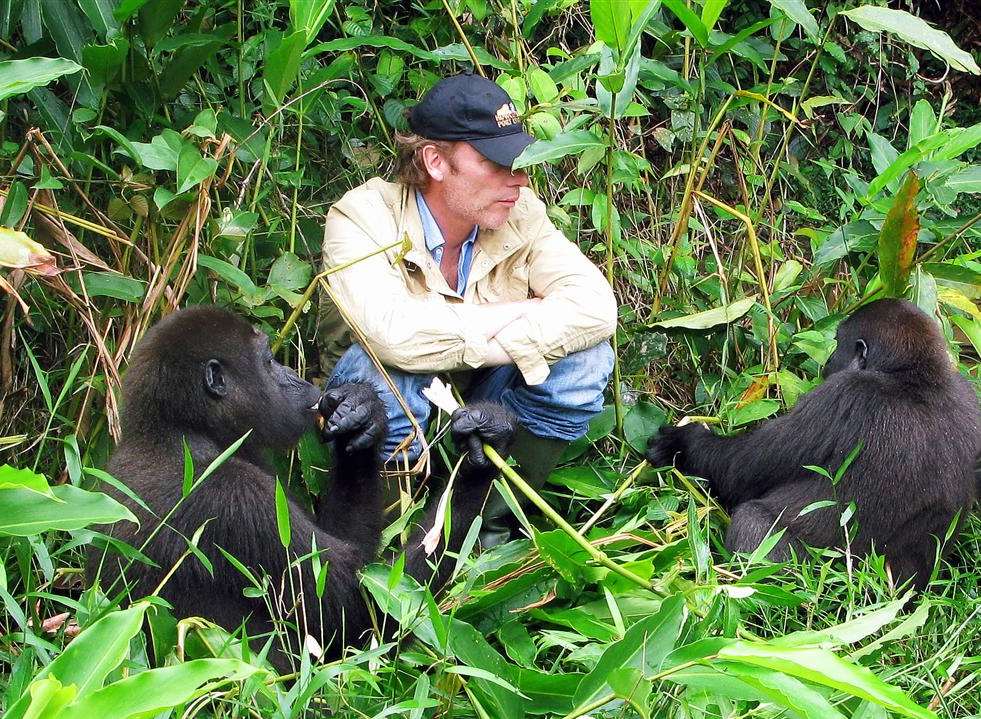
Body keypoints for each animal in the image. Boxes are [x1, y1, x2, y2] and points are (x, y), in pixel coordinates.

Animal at [87, 306, 512, 668]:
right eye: (268, 360)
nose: (295, 376)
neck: (177, 432)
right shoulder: (240, 499)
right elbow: (356, 607)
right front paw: (479, 465)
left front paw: (363, 415)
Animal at [648, 300, 976, 592]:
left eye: (838, 343)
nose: (828, 363)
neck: (917, 375)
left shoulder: (843, 393)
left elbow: (738, 472)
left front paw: (684, 444)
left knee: (752, 522)